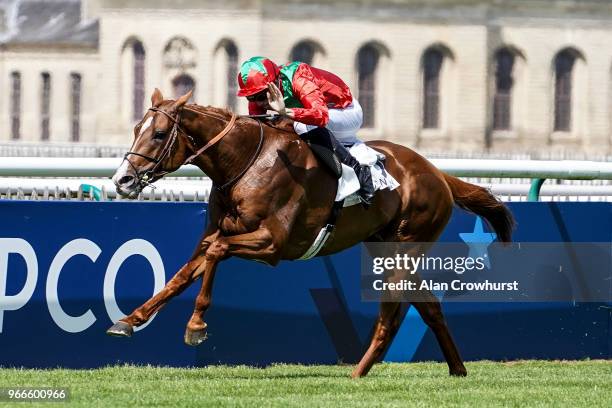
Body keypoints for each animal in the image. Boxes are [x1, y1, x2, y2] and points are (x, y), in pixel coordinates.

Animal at [107, 90, 512, 380]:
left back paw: (358, 372)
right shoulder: (213, 236)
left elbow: (217, 251)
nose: (122, 180)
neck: (244, 163)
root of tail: (438, 174)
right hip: (388, 248)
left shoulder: (272, 244)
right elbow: (182, 275)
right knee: (428, 306)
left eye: (159, 133)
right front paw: (130, 320)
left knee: (391, 315)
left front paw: (196, 326)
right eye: (136, 129)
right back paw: (456, 369)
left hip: (404, 249)